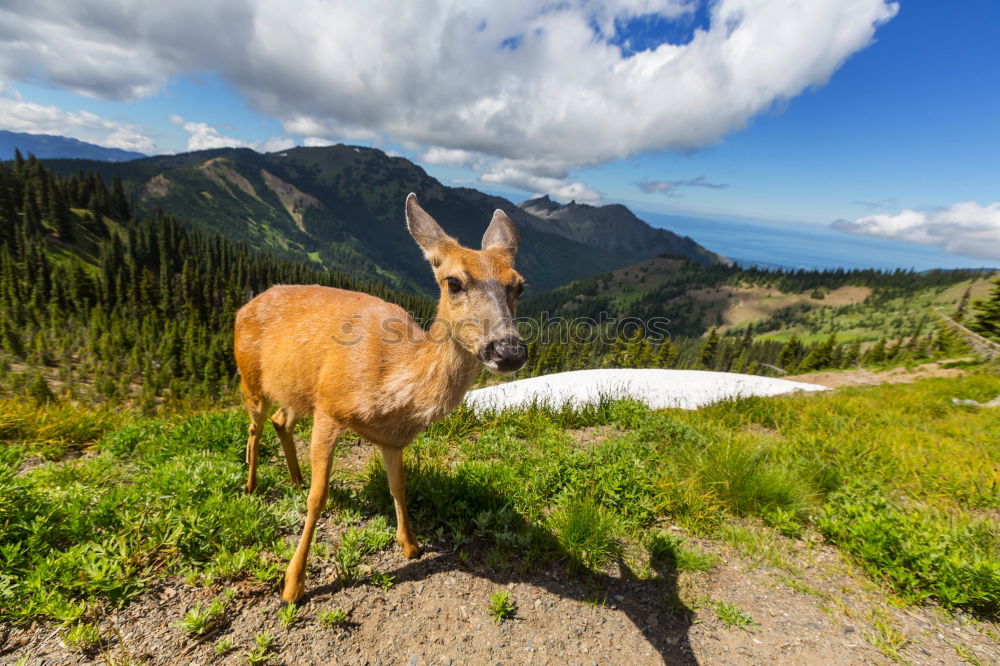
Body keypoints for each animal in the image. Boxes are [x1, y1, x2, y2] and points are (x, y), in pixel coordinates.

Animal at [235, 192, 532, 600]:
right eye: (453, 282)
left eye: (519, 286)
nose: (509, 351)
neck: (389, 386)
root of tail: (244, 306)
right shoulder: (329, 407)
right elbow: (317, 497)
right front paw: (293, 584)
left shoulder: (392, 439)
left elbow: (399, 486)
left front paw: (410, 544)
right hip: (250, 378)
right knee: (254, 428)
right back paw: (250, 486)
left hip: (295, 390)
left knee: (282, 421)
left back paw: (293, 478)